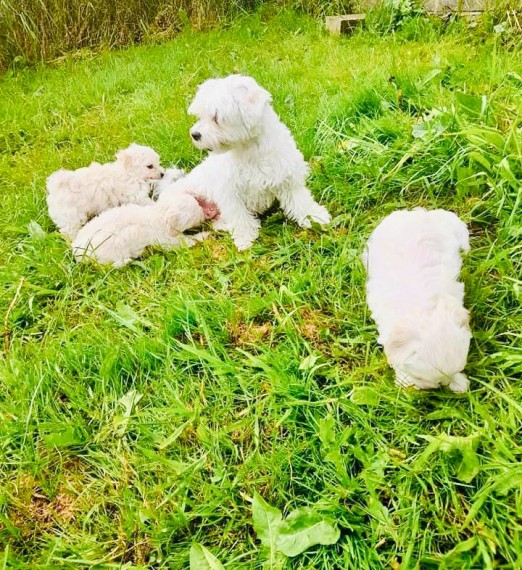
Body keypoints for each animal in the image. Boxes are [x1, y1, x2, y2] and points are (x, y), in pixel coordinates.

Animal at [71, 189, 215, 264]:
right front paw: (204, 235)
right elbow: (186, 241)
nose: (205, 216)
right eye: (196, 214)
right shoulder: (165, 240)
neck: (159, 213)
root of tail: (76, 250)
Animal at [167, 74, 330, 250]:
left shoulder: (287, 177)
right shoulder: (230, 192)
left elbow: (301, 201)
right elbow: (239, 216)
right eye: (200, 116)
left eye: (216, 117)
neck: (250, 150)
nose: (195, 134)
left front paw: (314, 216)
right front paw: (245, 238)